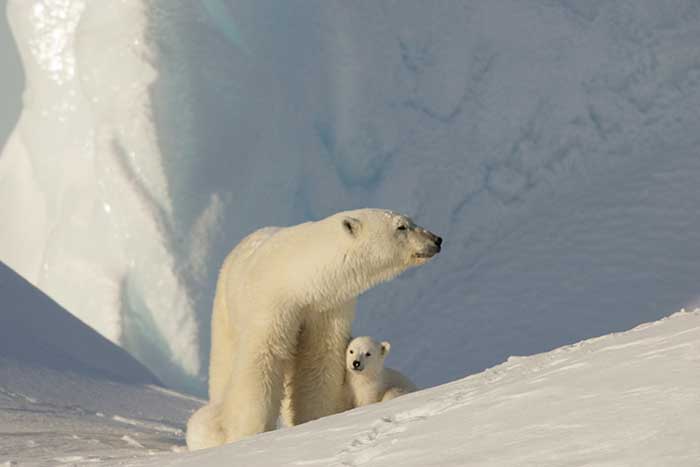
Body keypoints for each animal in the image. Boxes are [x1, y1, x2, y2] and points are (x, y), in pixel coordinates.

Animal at [189, 209, 440, 450]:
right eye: (402, 226)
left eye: (410, 221)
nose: (437, 240)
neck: (297, 279)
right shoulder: (271, 305)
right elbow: (262, 359)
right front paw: (249, 433)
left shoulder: (326, 307)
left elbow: (317, 361)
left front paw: (312, 420)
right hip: (225, 308)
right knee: (224, 364)